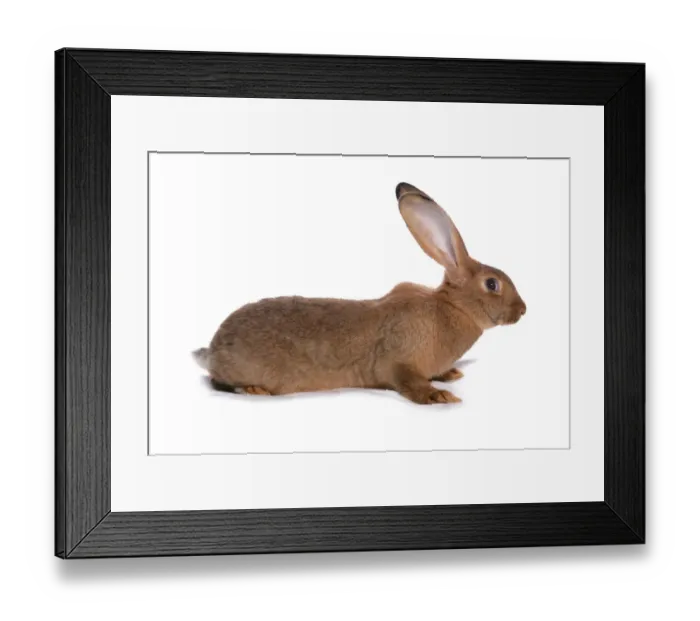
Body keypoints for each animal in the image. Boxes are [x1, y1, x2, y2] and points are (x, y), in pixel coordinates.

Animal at [193, 182, 526, 405]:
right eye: (492, 284)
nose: (522, 310)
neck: (452, 307)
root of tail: (213, 350)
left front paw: (451, 375)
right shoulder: (399, 361)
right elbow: (409, 382)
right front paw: (439, 396)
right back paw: (254, 390)